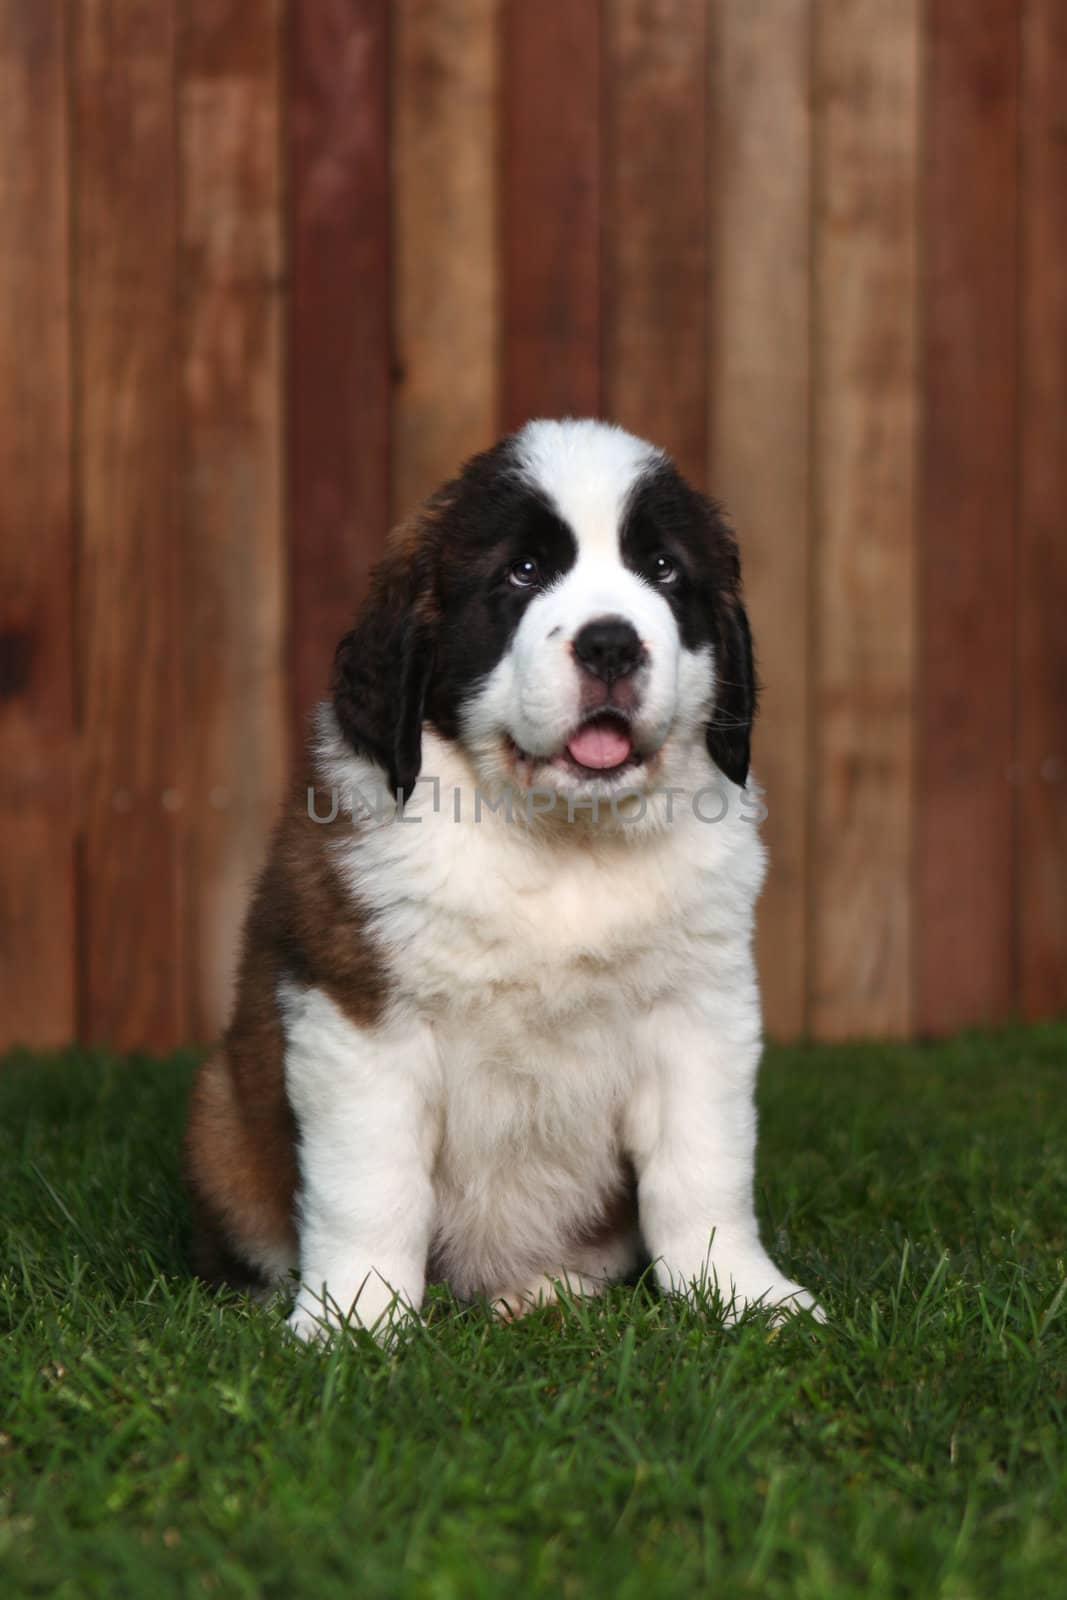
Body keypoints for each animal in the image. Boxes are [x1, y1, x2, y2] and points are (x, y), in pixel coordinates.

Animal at [183, 416, 825, 1337]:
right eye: (522, 573)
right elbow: (369, 1185)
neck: (560, 839)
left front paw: (741, 1293)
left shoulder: (699, 1010)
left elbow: (703, 1168)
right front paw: (354, 1321)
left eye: (663, 570)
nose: (609, 642)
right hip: (219, 1115)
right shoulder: (360, 1018)